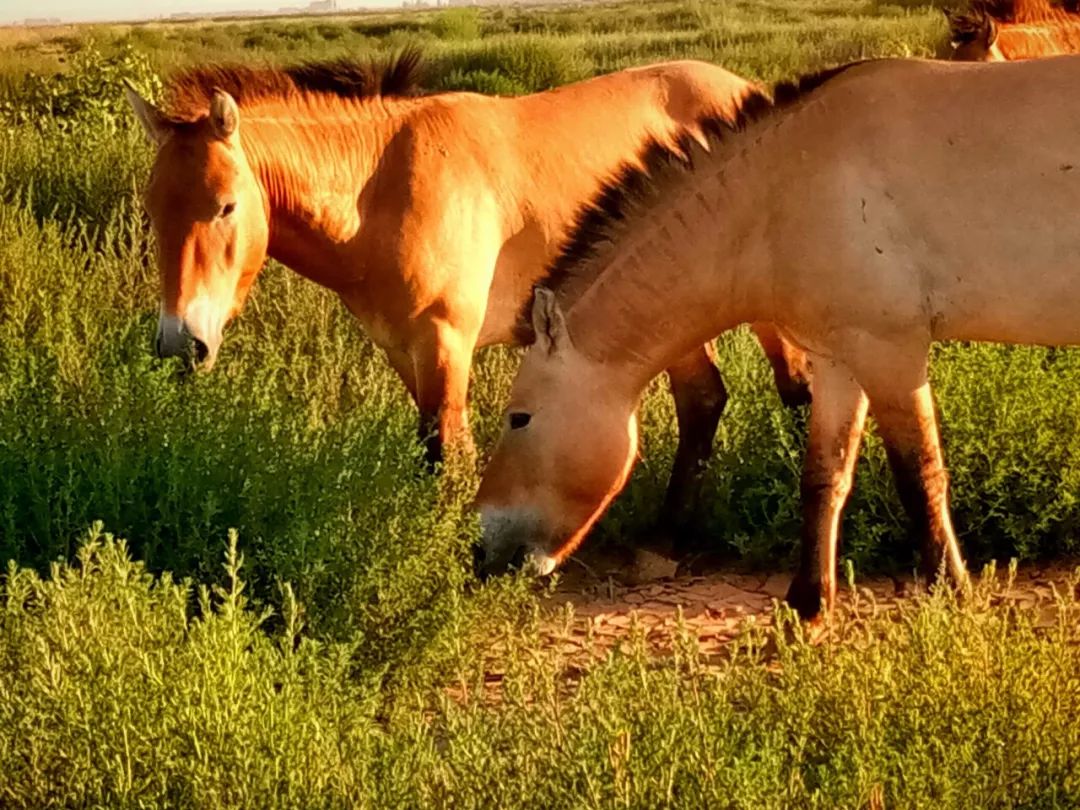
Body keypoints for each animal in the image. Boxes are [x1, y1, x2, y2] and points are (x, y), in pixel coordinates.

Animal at [124, 52, 812, 533]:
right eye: (152, 212)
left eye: (226, 206)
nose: (180, 344)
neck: (383, 188)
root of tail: (744, 90)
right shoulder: (405, 350)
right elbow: (439, 453)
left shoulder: (445, 342)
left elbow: (447, 452)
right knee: (705, 398)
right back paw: (666, 534)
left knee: (795, 388)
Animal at [475, 54, 1080, 617]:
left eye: (519, 418)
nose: (481, 551)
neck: (783, 188)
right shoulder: (839, 359)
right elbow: (824, 479)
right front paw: (808, 605)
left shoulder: (891, 354)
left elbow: (920, 478)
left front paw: (950, 596)